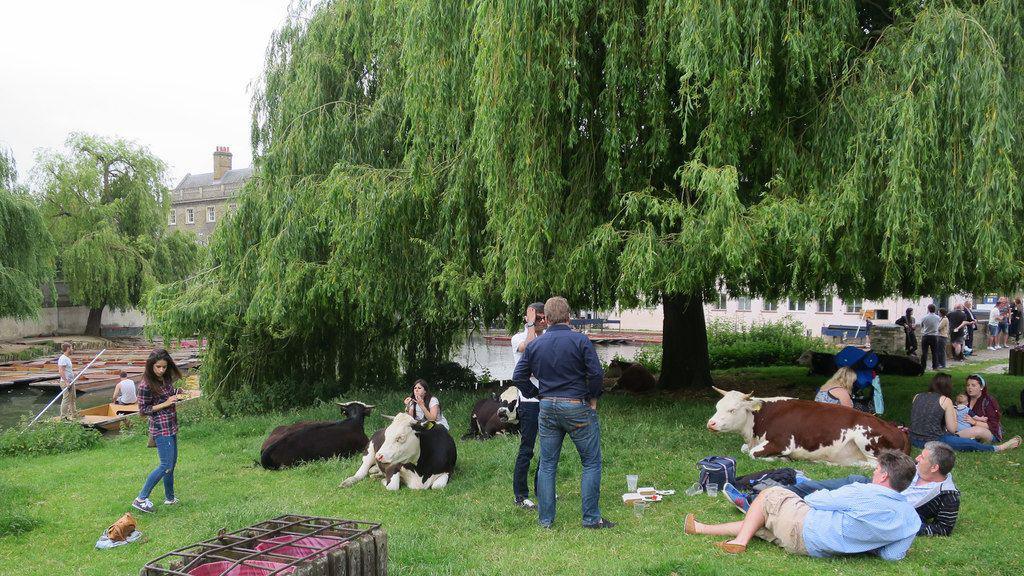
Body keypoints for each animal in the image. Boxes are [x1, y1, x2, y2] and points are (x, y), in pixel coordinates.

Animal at [704, 385, 913, 467]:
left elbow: (753, 453)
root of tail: (898, 429)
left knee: (872, 464)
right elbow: (744, 449)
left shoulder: (783, 443)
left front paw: (782, 459)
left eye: (732, 410)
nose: (711, 423)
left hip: (865, 439)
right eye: (717, 407)